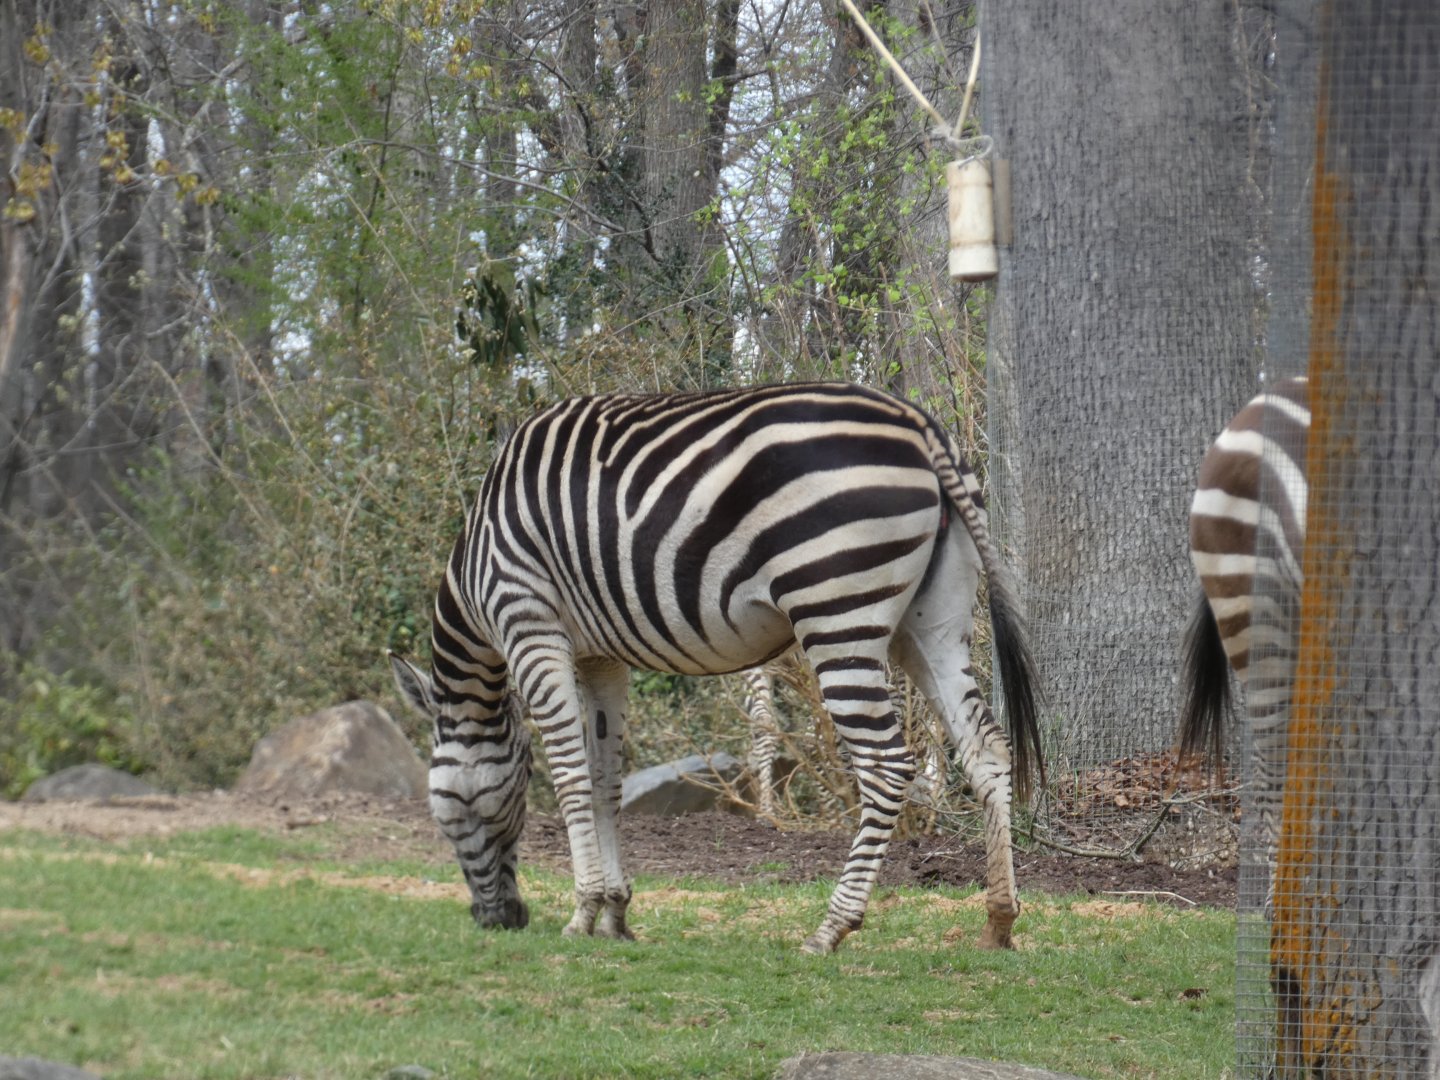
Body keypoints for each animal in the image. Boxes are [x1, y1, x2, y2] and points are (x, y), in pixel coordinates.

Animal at [390, 381, 1043, 955]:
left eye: (446, 809)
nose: (500, 919)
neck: (480, 555)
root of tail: (919, 425)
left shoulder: (530, 623)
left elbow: (571, 777)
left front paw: (582, 913)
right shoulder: (601, 656)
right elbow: (605, 781)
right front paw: (615, 913)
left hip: (836, 607)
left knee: (885, 764)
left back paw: (831, 927)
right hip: (931, 621)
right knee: (985, 746)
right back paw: (999, 920)